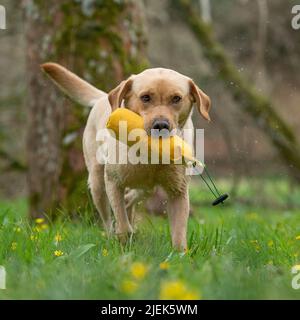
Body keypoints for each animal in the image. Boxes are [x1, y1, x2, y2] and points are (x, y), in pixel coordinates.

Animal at [41, 63, 211, 250]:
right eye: (145, 97)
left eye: (176, 98)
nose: (161, 125)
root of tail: (103, 97)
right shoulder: (113, 181)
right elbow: (121, 222)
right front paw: (123, 241)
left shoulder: (178, 191)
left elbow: (179, 233)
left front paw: (179, 254)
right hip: (97, 183)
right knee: (108, 219)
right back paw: (113, 236)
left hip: (147, 187)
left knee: (130, 199)